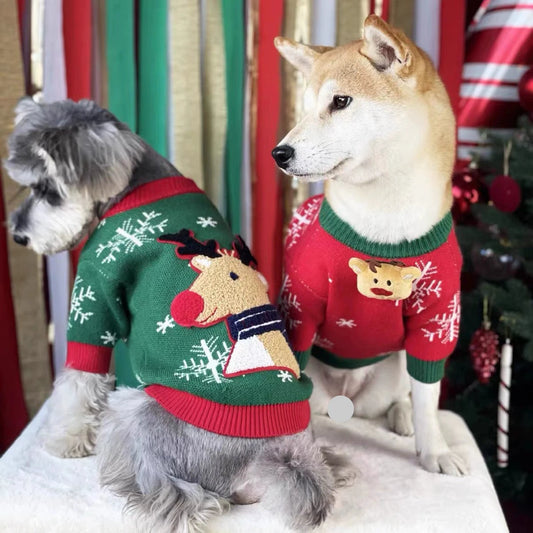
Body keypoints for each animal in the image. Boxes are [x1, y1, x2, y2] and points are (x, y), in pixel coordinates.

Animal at [272, 15, 468, 474]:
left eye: (340, 102)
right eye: (304, 109)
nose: (279, 153)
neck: (383, 231)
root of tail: (349, 397)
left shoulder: (437, 318)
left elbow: (429, 396)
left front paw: (435, 451)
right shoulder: (301, 307)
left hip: (393, 369)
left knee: (406, 394)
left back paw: (402, 417)